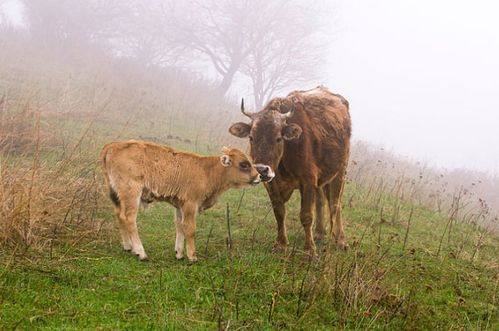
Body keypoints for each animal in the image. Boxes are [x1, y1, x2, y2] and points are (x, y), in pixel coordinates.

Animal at [100, 140, 264, 262]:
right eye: (244, 164)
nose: (259, 176)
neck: (207, 170)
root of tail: (112, 145)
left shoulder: (179, 206)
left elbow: (180, 226)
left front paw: (179, 253)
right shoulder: (190, 204)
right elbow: (190, 229)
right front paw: (192, 256)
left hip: (116, 195)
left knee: (119, 215)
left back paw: (128, 247)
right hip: (131, 193)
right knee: (128, 218)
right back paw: (141, 253)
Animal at [229, 85, 350, 256]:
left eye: (278, 138)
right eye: (251, 137)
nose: (262, 170)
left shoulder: (308, 180)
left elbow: (306, 215)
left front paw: (310, 251)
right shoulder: (272, 184)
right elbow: (279, 212)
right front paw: (281, 244)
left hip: (340, 171)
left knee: (335, 203)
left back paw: (341, 241)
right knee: (321, 200)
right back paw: (319, 233)